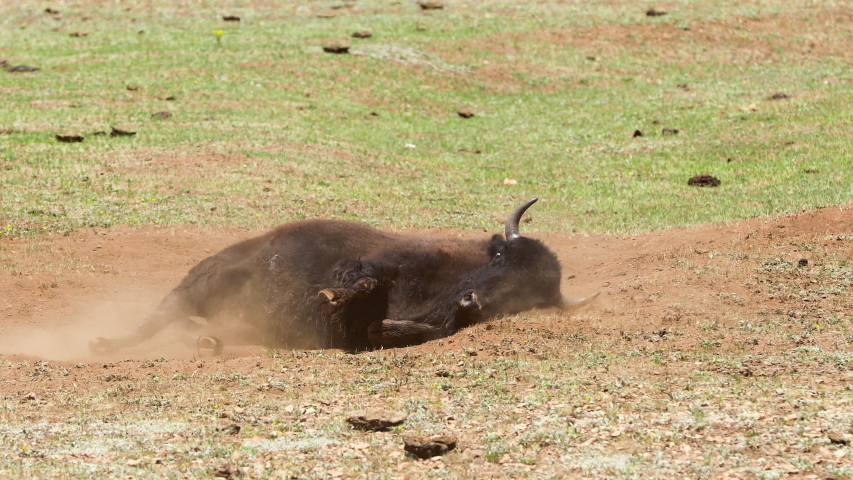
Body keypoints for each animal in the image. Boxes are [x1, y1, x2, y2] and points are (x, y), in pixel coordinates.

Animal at [90, 198, 598, 355]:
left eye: (529, 294)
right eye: (500, 259)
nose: (474, 300)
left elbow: (389, 329)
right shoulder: (385, 262)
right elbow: (365, 280)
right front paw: (334, 297)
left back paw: (209, 342)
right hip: (204, 283)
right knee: (160, 315)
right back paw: (104, 344)